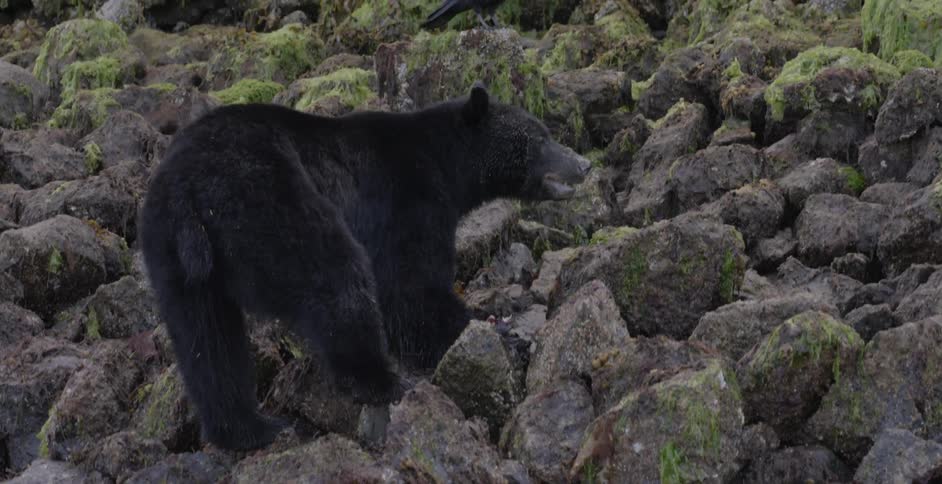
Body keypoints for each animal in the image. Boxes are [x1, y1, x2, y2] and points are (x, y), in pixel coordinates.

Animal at [137, 82, 591, 451]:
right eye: (539, 137)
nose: (583, 163)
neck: (446, 163)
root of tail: (189, 189)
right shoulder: (406, 197)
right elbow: (410, 288)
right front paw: (500, 333)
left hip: (172, 255)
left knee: (207, 339)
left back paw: (250, 428)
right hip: (271, 200)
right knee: (335, 277)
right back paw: (383, 381)